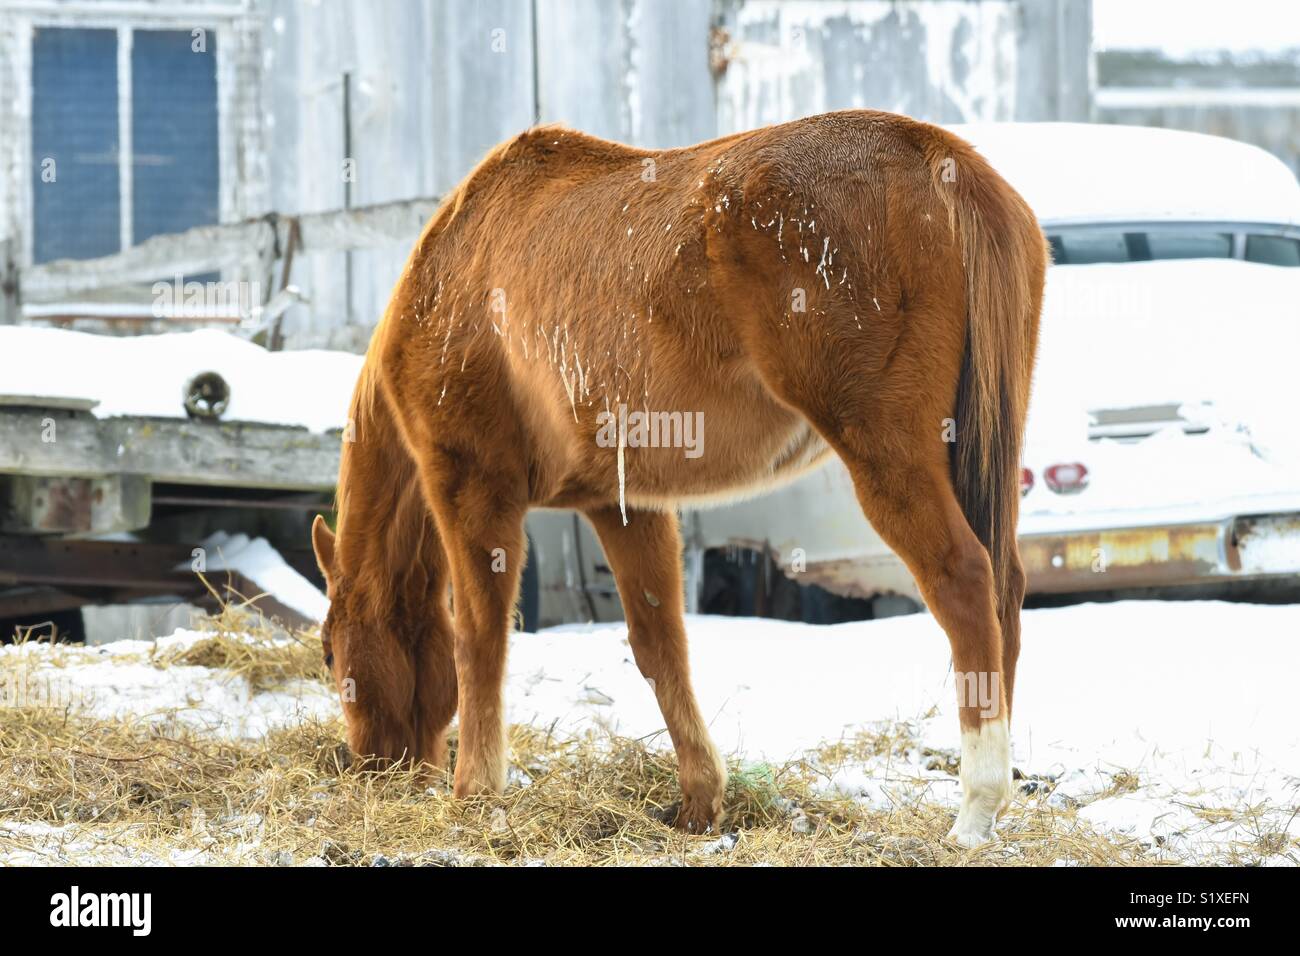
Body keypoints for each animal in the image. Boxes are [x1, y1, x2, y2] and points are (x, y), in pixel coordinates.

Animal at [312, 108, 1045, 848]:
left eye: (329, 656)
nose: (369, 767)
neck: (453, 275)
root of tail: (935, 154)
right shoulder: (624, 506)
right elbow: (659, 646)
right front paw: (699, 800)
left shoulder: (472, 490)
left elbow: (479, 641)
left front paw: (474, 795)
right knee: (1005, 589)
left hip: (889, 458)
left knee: (964, 581)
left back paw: (976, 808)